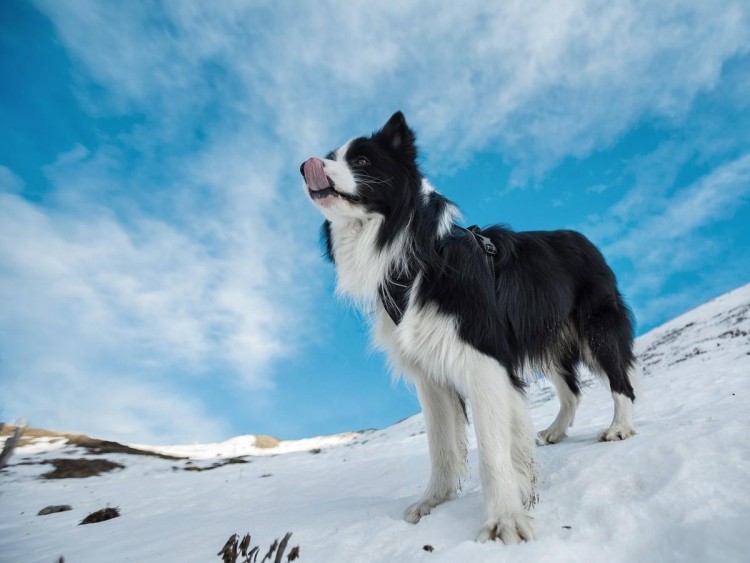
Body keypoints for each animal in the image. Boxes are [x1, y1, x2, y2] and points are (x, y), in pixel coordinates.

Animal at [302, 112, 640, 544]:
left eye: (361, 161)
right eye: (331, 157)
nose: (307, 165)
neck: (417, 257)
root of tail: (584, 239)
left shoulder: (483, 359)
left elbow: (492, 450)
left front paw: (505, 520)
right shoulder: (431, 371)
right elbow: (442, 446)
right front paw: (433, 501)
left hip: (595, 326)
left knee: (620, 377)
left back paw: (619, 428)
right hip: (544, 337)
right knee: (571, 389)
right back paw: (554, 432)